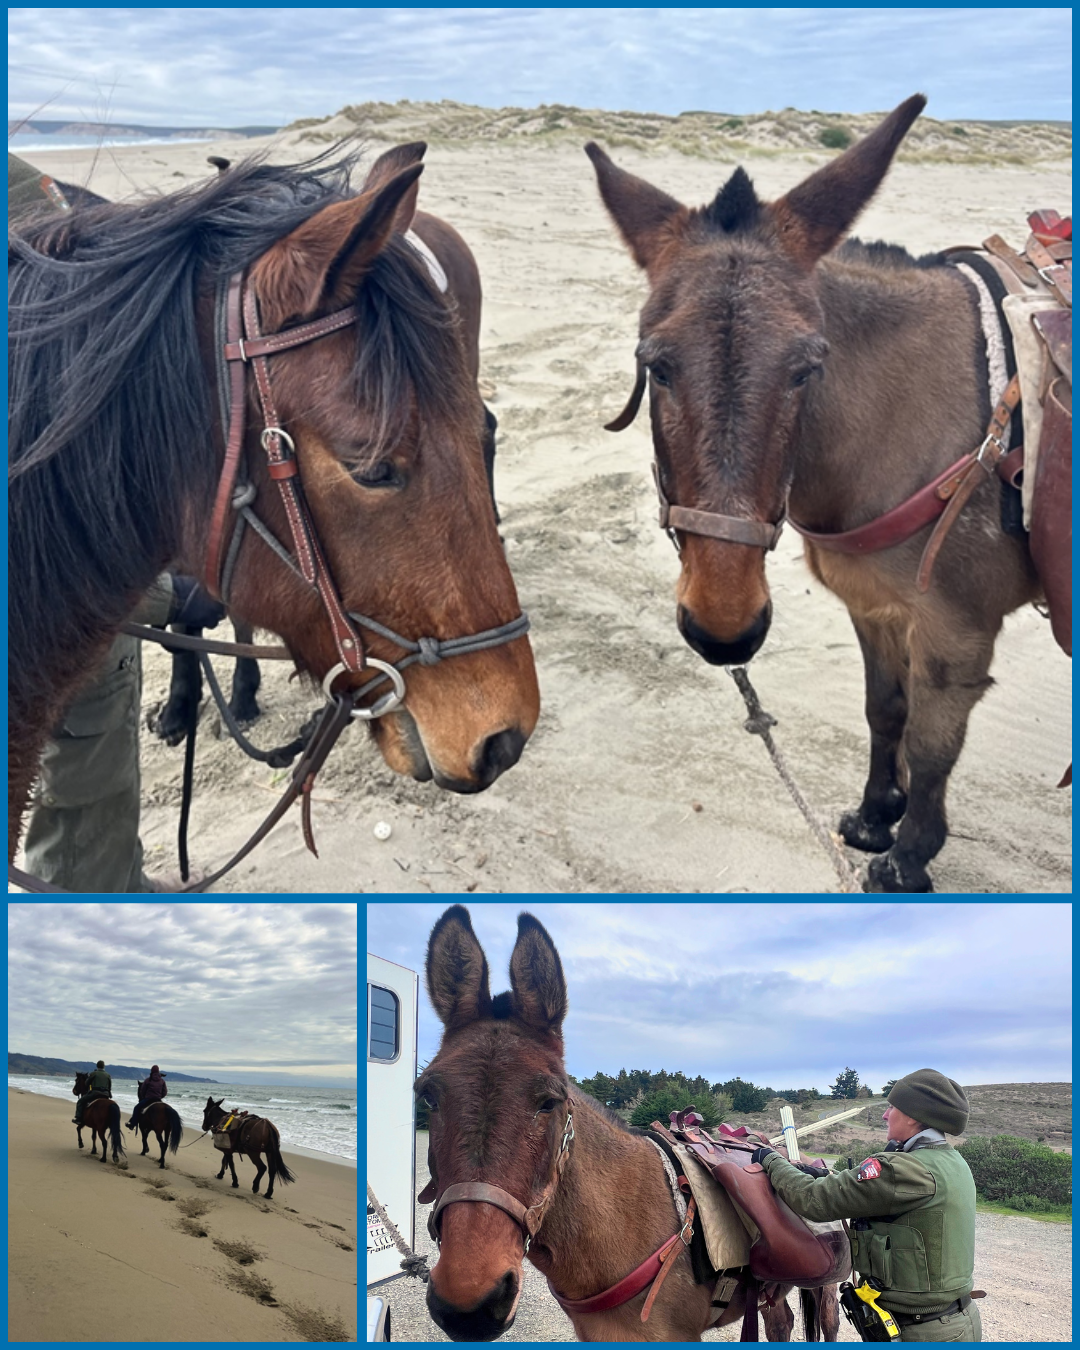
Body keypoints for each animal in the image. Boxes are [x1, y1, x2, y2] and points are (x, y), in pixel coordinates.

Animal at [586, 95, 1064, 893]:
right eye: (656, 367)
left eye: (808, 369)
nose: (725, 630)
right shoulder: (872, 607)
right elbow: (885, 710)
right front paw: (875, 818)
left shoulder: (955, 633)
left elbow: (931, 743)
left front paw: (908, 859)